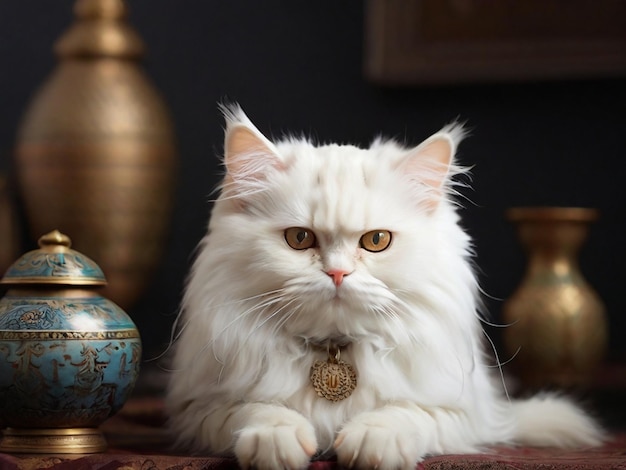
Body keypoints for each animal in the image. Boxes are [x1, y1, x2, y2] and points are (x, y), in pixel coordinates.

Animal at [165, 106, 600, 470]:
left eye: (376, 241)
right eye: (299, 238)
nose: (337, 274)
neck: (334, 348)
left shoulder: (461, 414)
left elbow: (404, 413)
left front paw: (372, 443)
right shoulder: (200, 409)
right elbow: (259, 409)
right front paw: (276, 441)